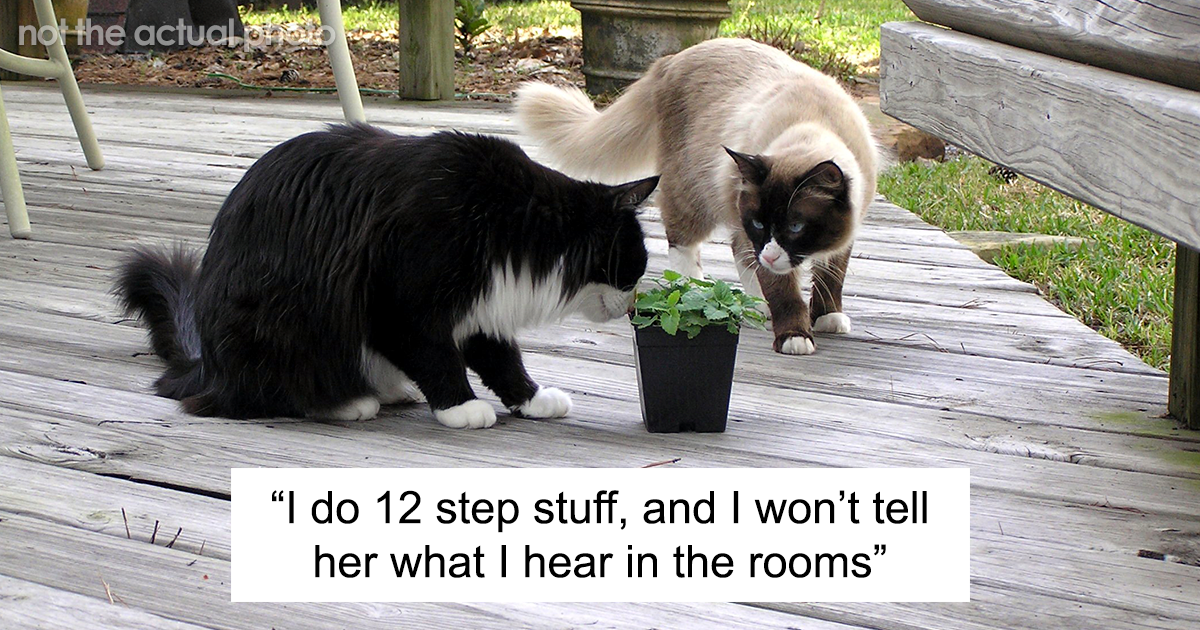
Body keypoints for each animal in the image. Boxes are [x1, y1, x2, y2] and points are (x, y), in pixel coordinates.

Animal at [115, 125, 658, 428]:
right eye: (635, 265)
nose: (634, 304)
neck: (512, 220)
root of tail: (207, 362)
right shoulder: (399, 303)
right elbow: (438, 357)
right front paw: (460, 406)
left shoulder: (479, 306)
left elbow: (502, 361)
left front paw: (531, 399)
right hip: (286, 315)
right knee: (253, 395)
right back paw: (346, 402)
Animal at [516, 38, 878, 355]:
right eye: (762, 224)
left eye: (795, 228)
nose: (772, 256)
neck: (811, 127)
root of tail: (671, 58)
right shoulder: (757, 237)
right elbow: (783, 290)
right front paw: (794, 337)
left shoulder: (841, 235)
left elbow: (832, 277)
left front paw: (827, 316)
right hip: (691, 190)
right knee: (684, 244)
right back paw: (696, 292)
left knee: (739, 252)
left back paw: (756, 305)